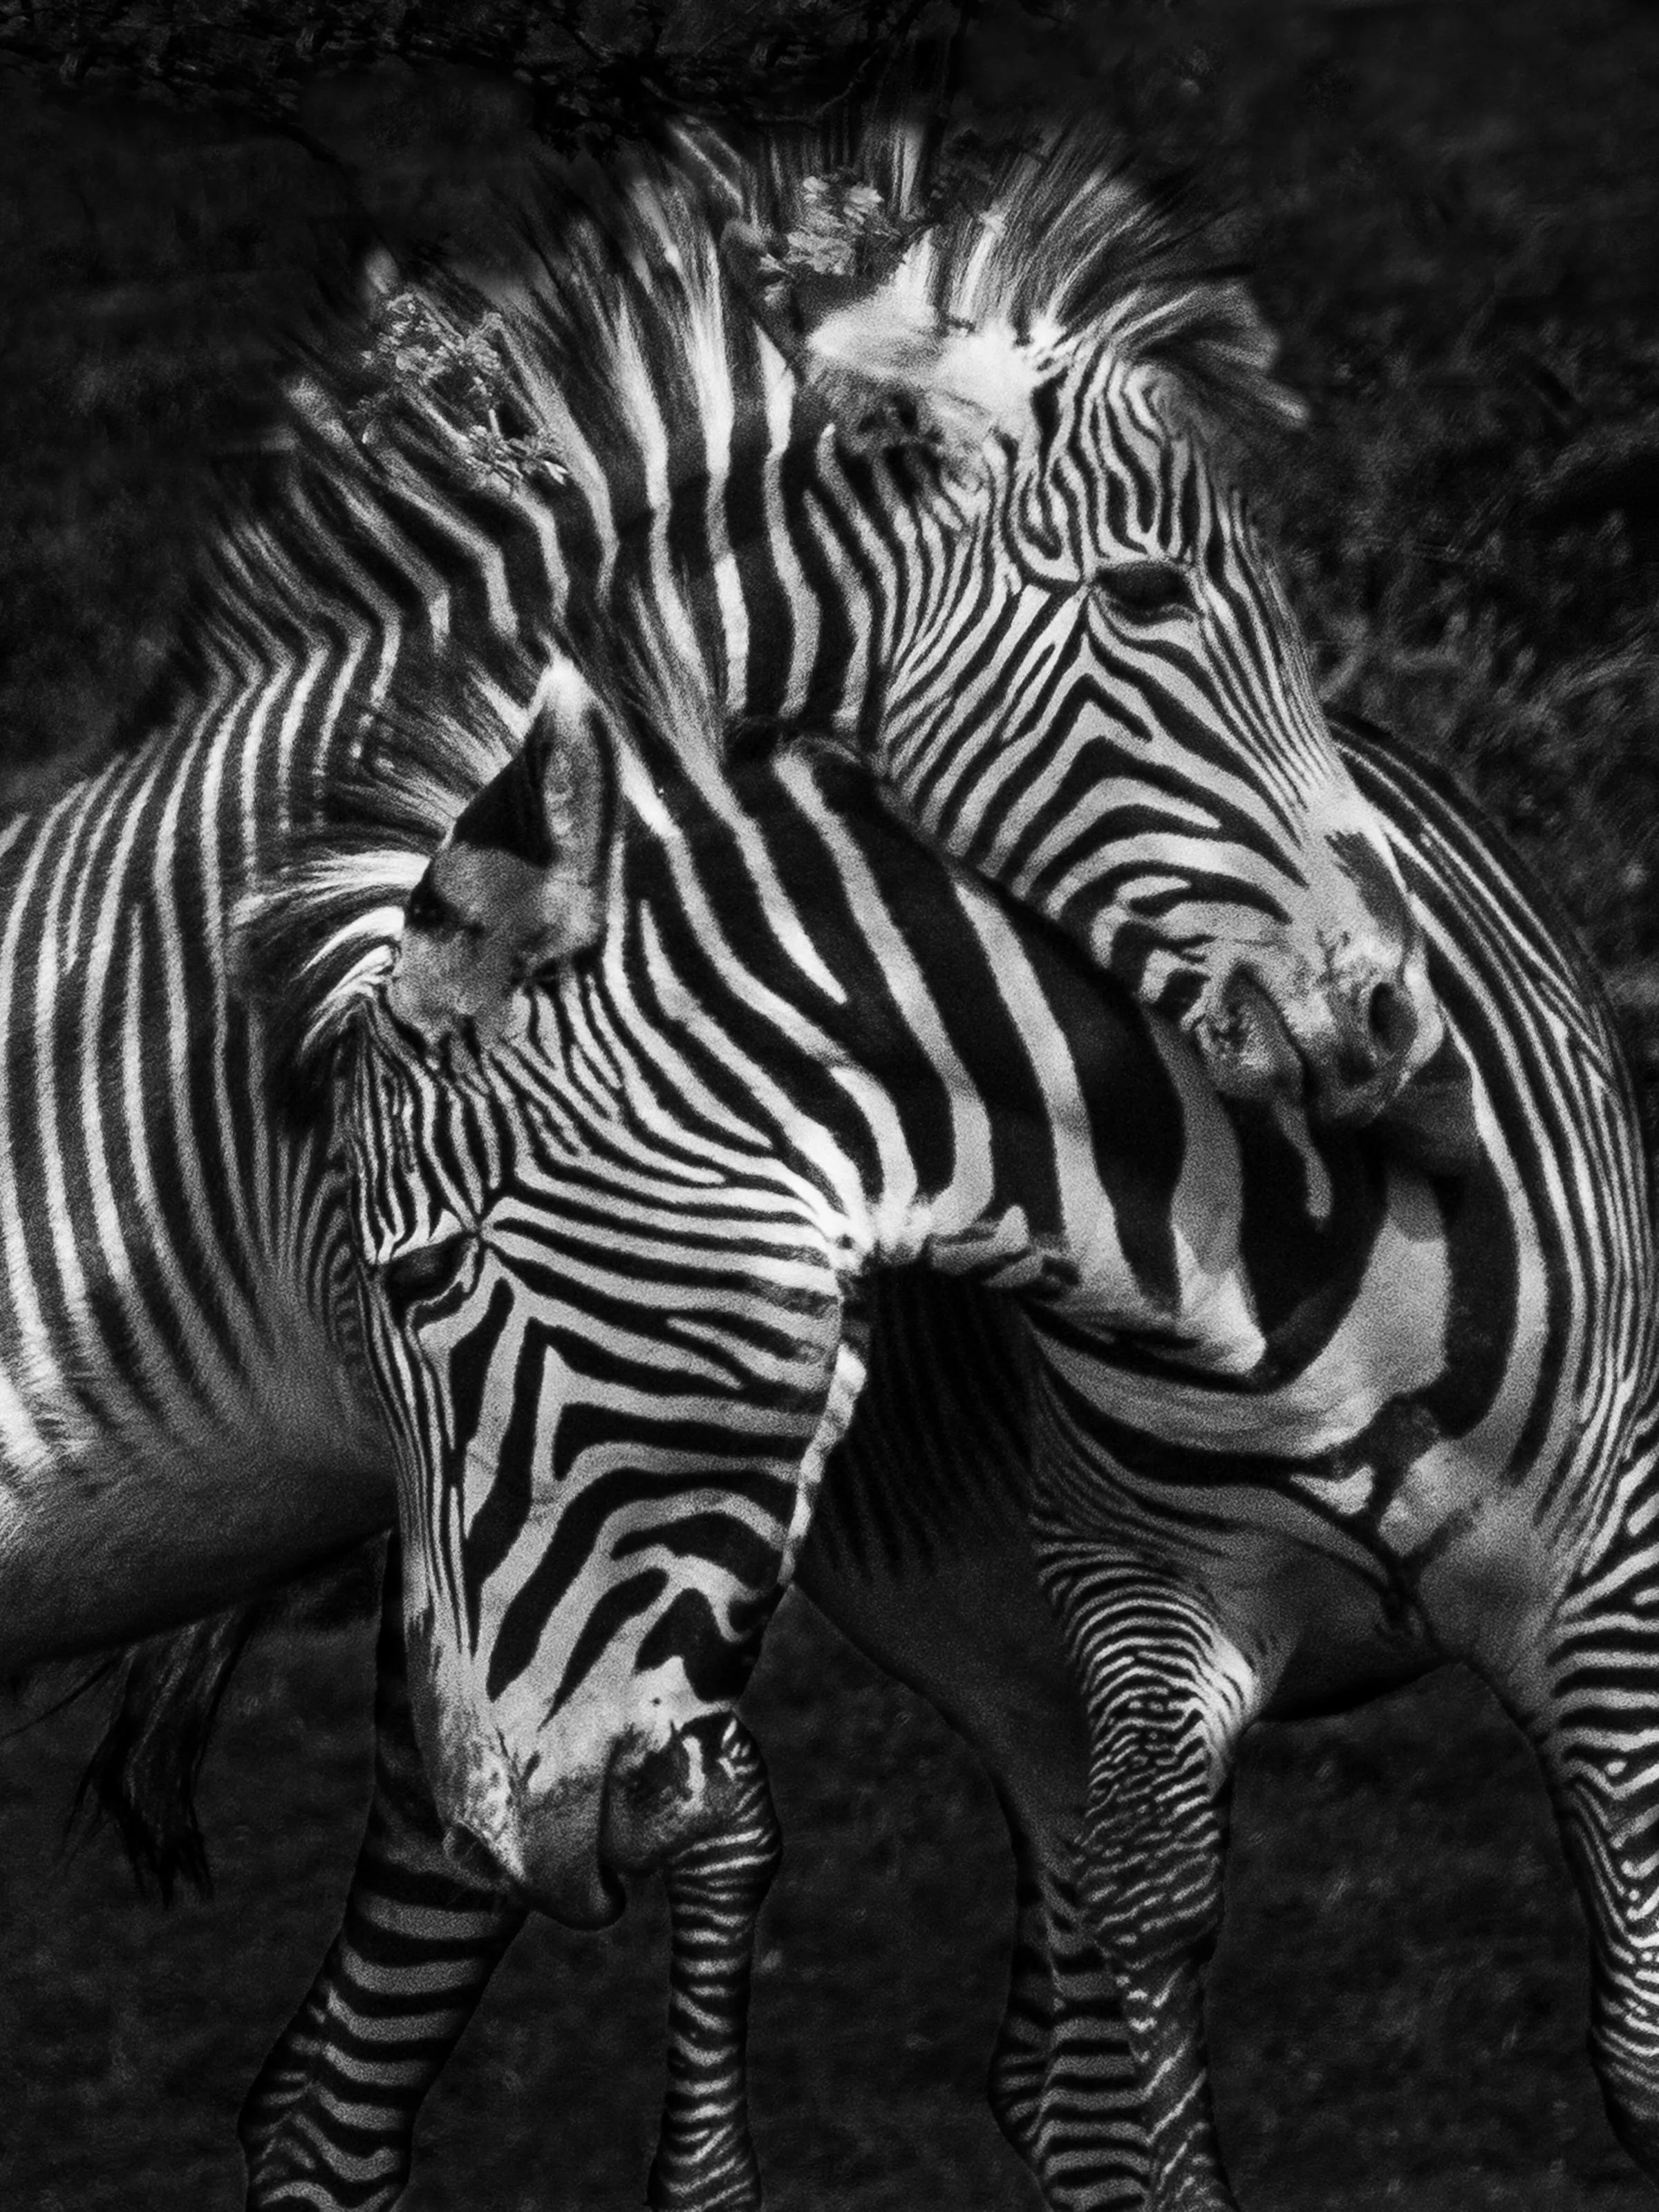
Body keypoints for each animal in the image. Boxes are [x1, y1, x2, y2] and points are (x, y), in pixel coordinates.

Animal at [240, 605, 1659, 2212]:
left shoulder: (1608, 1579)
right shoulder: (1144, 1595)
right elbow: (1159, 1928)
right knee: (333, 2099)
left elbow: (1635, 2055)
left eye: (418, 1273)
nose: (492, 1832)